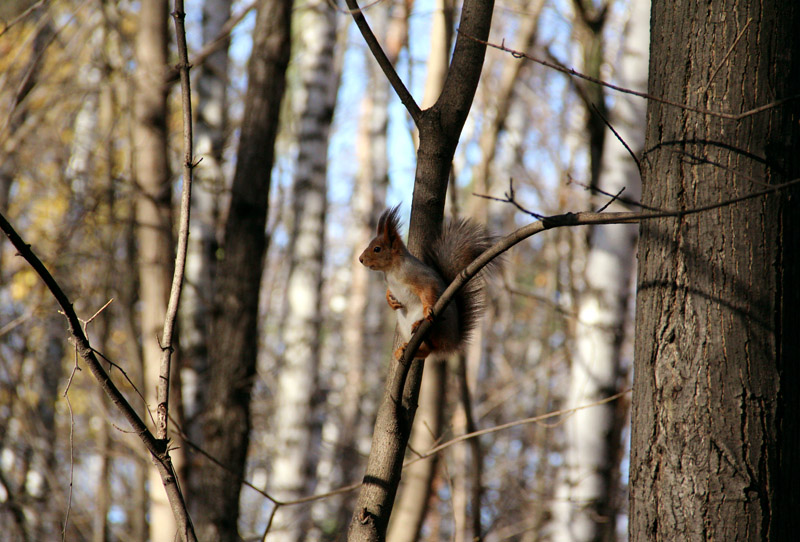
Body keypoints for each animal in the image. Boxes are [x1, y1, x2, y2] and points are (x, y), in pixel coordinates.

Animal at [358, 204, 500, 362]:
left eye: (377, 249)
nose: (360, 259)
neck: (390, 271)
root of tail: (452, 341)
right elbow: (390, 292)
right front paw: (390, 300)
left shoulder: (419, 276)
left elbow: (428, 289)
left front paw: (427, 310)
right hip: (404, 325)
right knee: (427, 350)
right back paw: (402, 349)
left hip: (440, 325)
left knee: (432, 344)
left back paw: (419, 323)